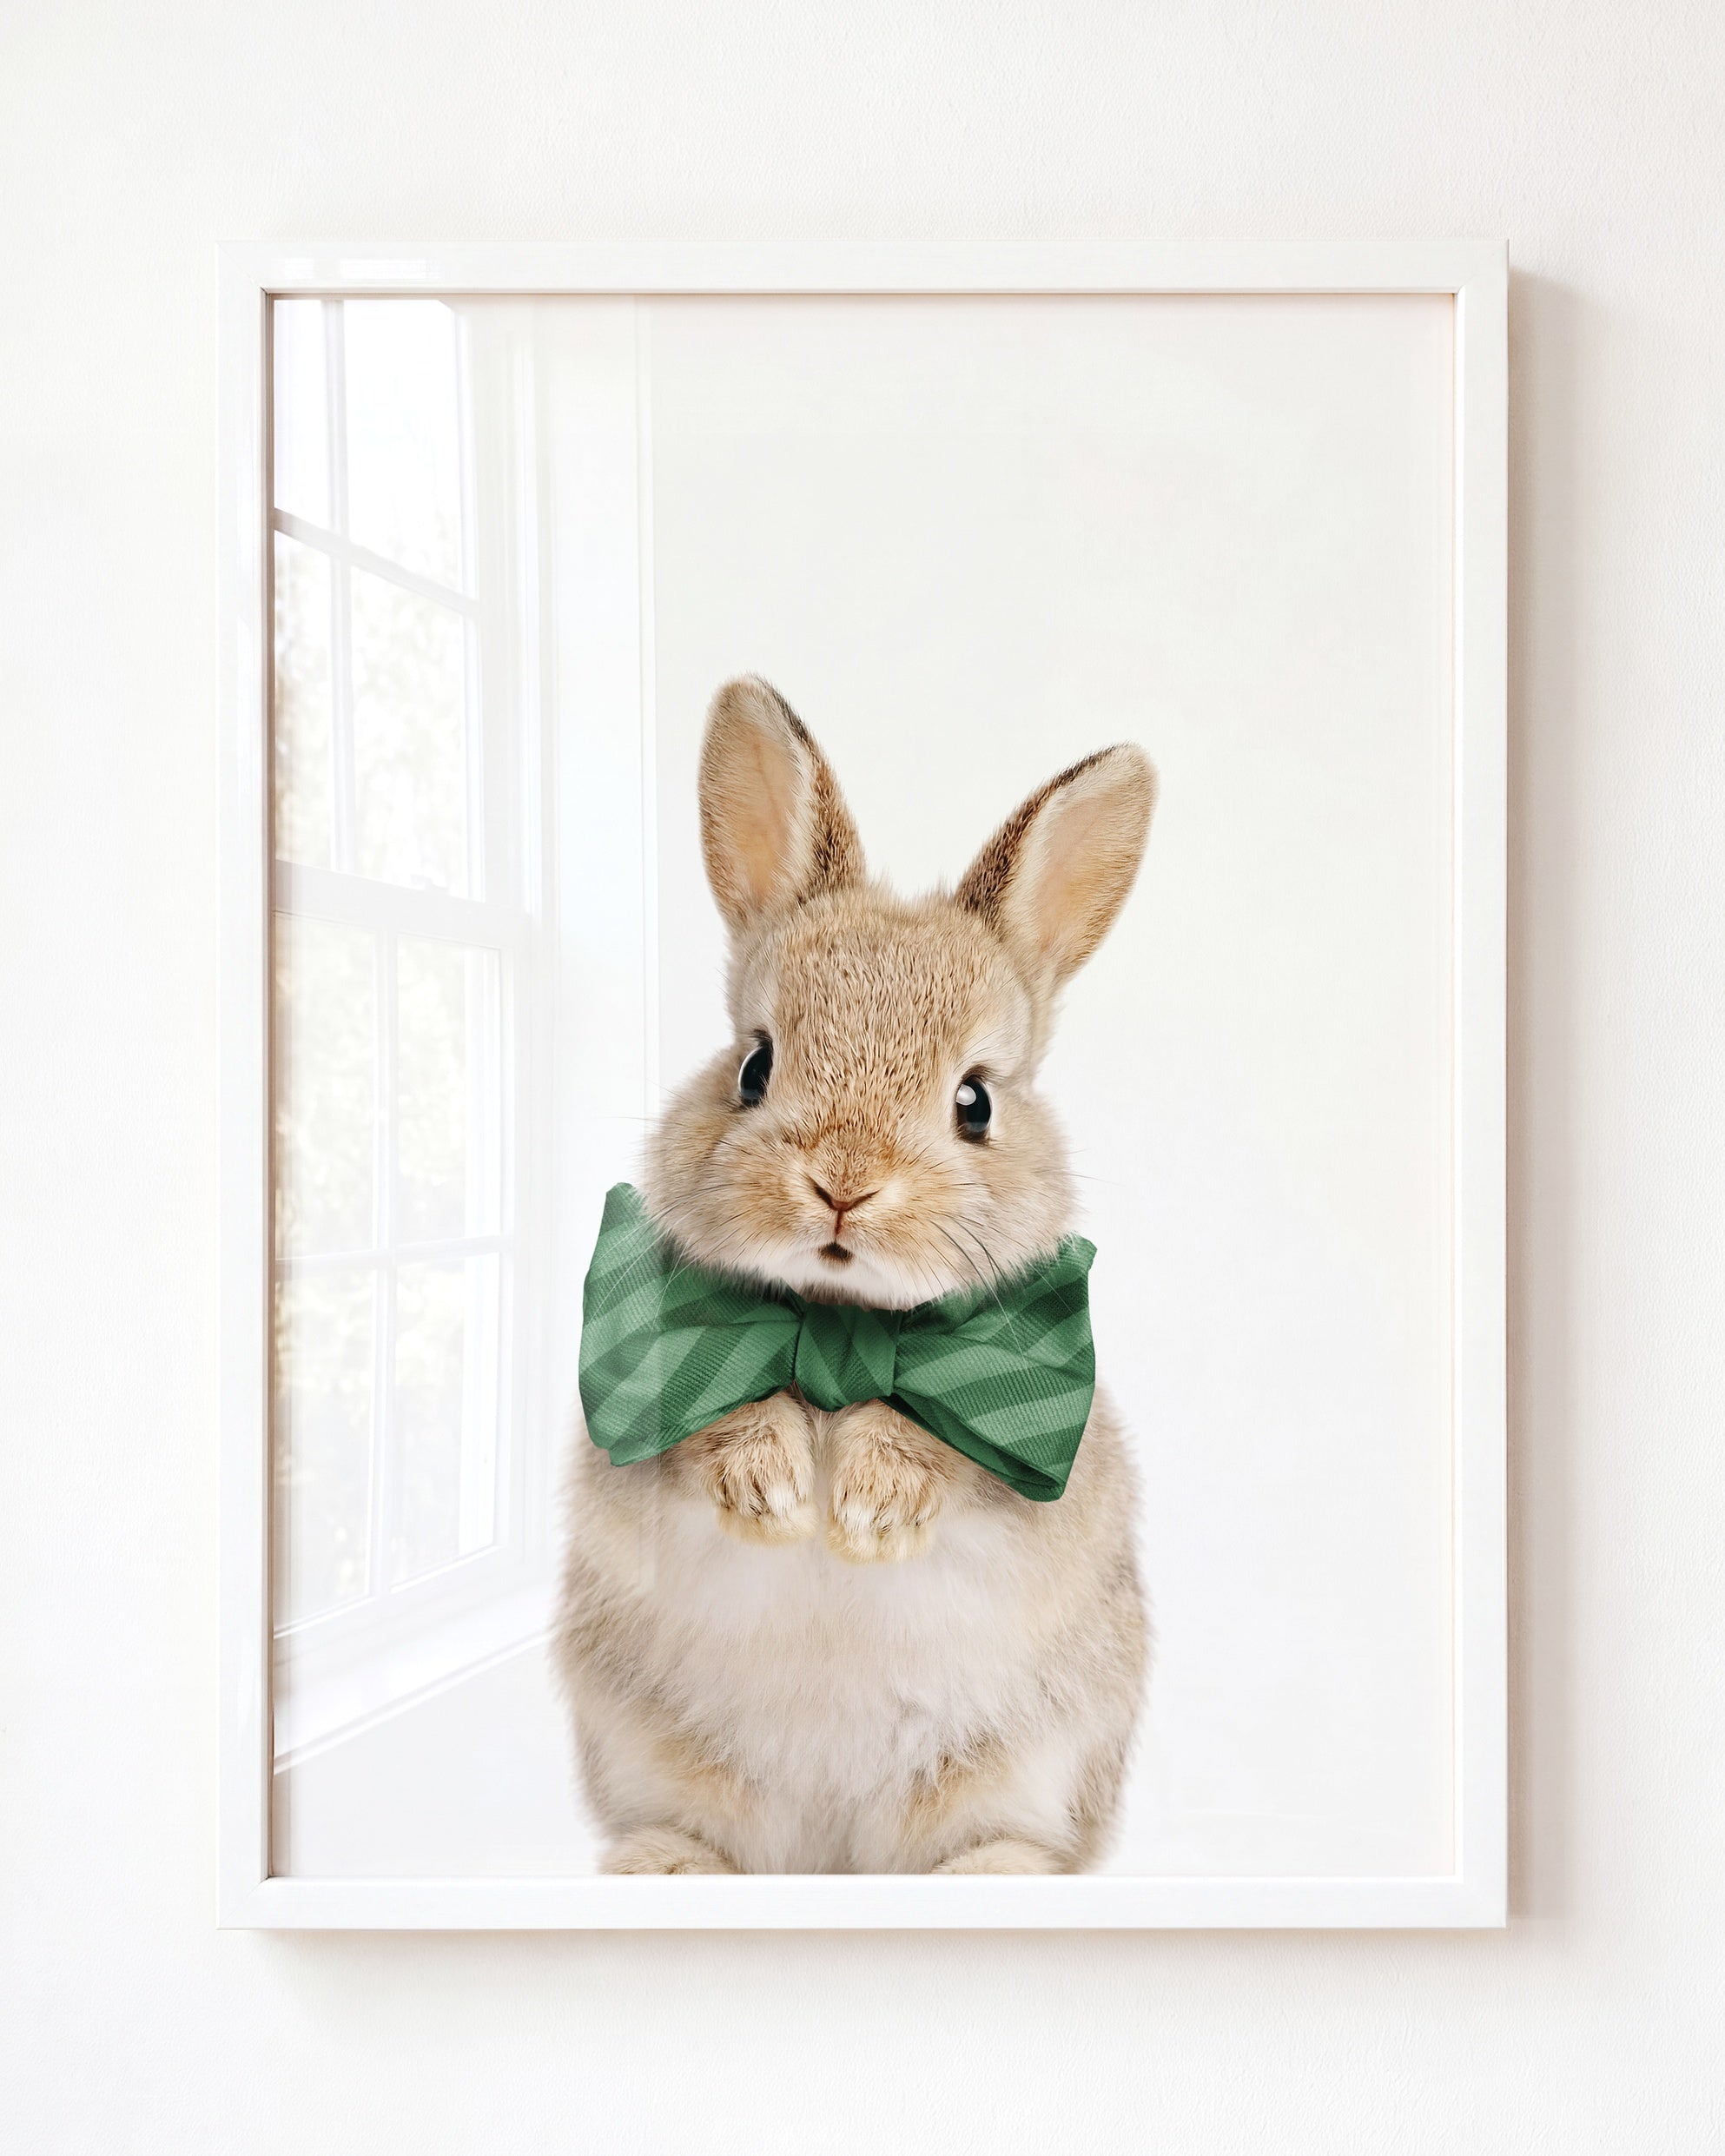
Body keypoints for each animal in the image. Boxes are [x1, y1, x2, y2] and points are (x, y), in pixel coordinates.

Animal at [554, 676, 1155, 1875]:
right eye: (754, 1064)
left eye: (975, 1100)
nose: (843, 1184)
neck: (839, 1322)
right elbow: (708, 1428)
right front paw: (777, 1493)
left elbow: (951, 1449)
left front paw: (870, 1507)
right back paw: (665, 1867)